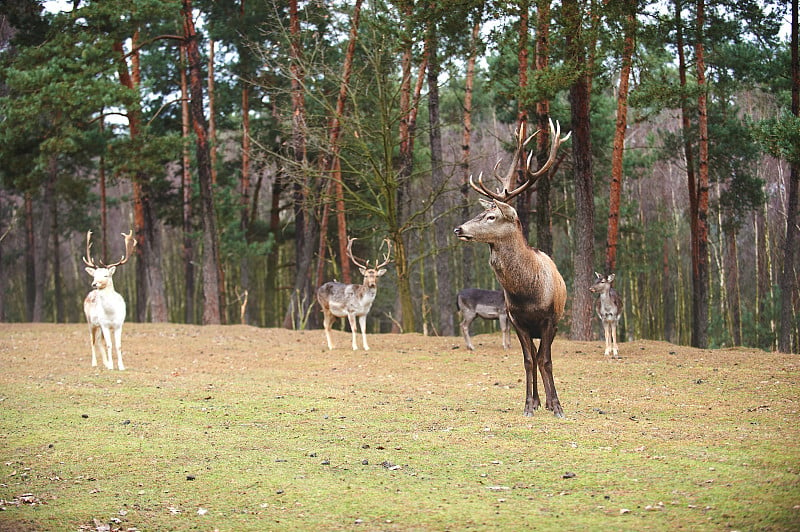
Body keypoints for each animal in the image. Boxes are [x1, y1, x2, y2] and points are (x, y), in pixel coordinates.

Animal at [81, 231, 136, 372]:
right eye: (94, 275)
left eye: (106, 275)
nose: (94, 284)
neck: (111, 312)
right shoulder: (105, 324)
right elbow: (109, 345)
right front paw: (111, 366)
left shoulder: (119, 324)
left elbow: (118, 345)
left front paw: (121, 366)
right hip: (91, 322)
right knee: (93, 340)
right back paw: (95, 363)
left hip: (100, 326)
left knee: (100, 341)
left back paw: (105, 362)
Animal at [454, 118, 572, 418]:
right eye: (481, 212)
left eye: (491, 216)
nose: (458, 229)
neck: (527, 293)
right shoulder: (517, 319)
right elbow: (528, 360)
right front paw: (530, 404)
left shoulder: (550, 319)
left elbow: (546, 360)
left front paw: (557, 406)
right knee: (534, 356)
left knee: (544, 357)